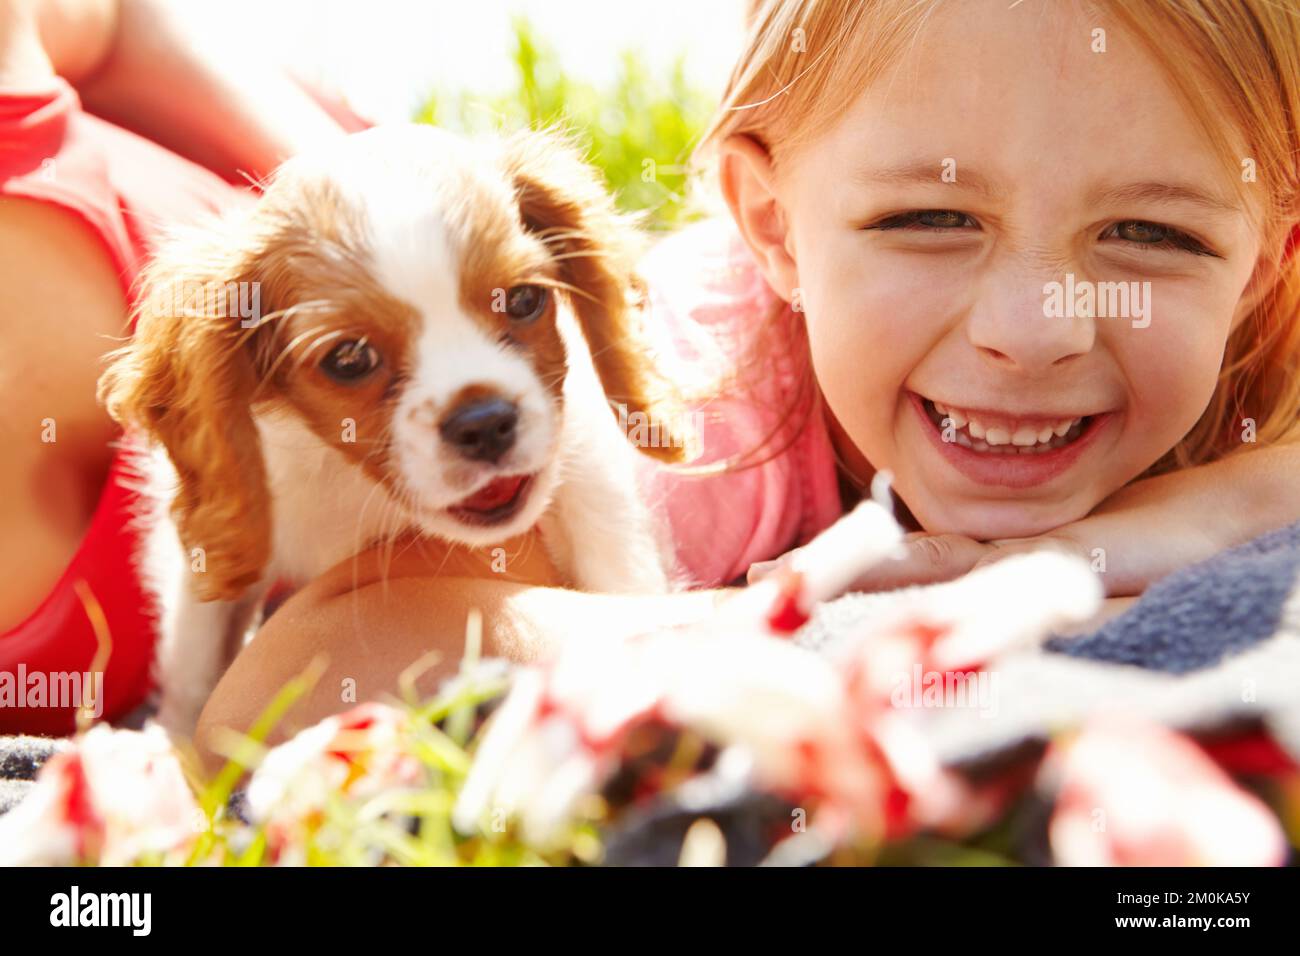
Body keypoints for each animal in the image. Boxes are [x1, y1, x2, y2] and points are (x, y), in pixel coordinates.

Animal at [100, 121, 686, 733]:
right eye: (349, 358)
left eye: (525, 299)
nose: (485, 423)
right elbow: (195, 656)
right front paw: (175, 744)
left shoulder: (587, 468)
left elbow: (618, 567)